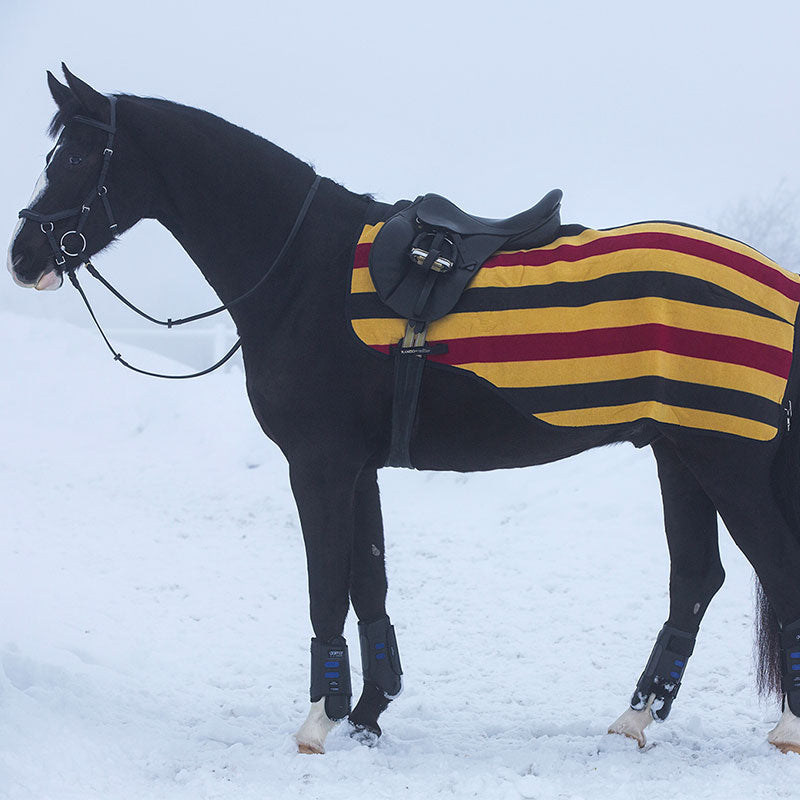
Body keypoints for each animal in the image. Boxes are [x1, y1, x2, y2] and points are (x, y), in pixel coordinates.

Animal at [9, 65, 800, 752]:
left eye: (75, 155)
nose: (22, 256)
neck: (304, 270)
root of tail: (778, 282)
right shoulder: (359, 469)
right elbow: (369, 584)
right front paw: (365, 711)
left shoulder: (320, 466)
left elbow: (328, 586)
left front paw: (318, 721)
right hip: (680, 453)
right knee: (696, 578)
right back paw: (635, 718)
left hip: (725, 458)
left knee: (772, 563)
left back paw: (785, 727)